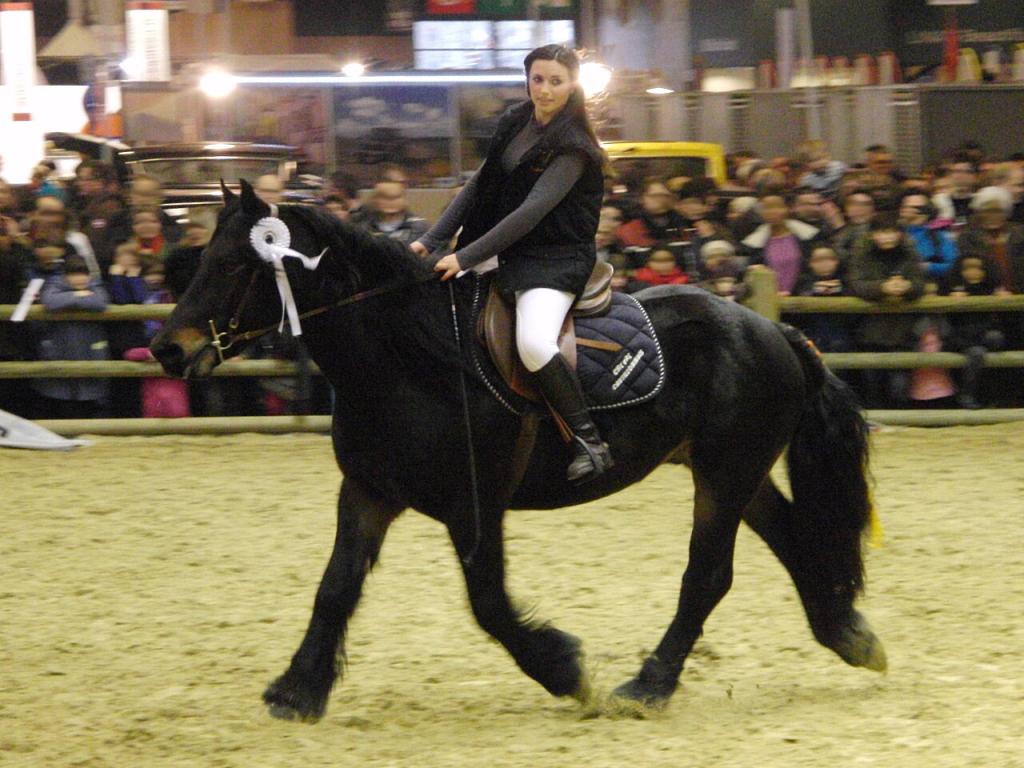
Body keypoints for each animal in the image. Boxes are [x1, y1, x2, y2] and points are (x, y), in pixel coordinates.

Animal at [151, 180, 886, 723]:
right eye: (200, 259)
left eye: (232, 265)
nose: (167, 350)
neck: (407, 360)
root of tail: (774, 330)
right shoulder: (367, 492)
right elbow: (334, 587)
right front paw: (297, 689)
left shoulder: (473, 506)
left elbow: (488, 604)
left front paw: (565, 670)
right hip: (735, 473)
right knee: (793, 541)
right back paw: (848, 636)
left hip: (726, 474)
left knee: (707, 576)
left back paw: (646, 686)